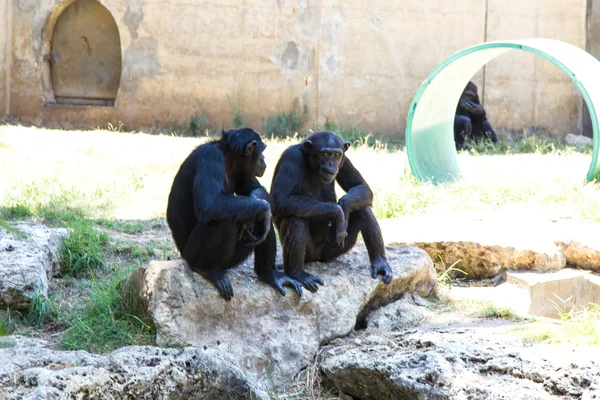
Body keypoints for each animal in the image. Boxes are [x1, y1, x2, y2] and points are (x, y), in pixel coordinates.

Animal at [166, 127, 302, 300]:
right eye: (263, 150)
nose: (264, 158)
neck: (229, 160)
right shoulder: (210, 158)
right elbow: (209, 204)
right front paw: (261, 209)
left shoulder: (243, 171)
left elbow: (256, 189)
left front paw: (253, 214)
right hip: (190, 255)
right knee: (221, 221)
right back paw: (208, 269)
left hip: (232, 260)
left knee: (263, 223)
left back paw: (270, 274)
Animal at [270, 130, 392, 292]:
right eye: (325, 154)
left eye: (336, 154)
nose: (331, 163)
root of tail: (318, 258)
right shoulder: (291, 157)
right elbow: (282, 198)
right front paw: (338, 212)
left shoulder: (345, 161)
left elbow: (362, 186)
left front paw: (344, 206)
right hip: (310, 254)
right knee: (295, 218)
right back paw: (297, 273)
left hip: (333, 250)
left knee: (363, 208)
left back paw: (380, 263)